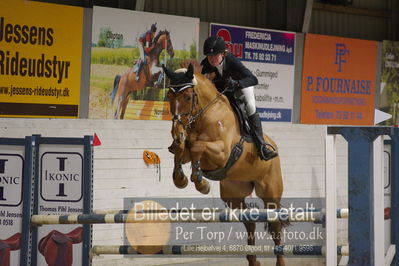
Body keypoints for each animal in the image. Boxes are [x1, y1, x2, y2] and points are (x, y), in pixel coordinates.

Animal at [164, 62, 286, 266]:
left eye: (188, 97)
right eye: (169, 96)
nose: (177, 132)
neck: (204, 115)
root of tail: (273, 146)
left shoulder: (222, 152)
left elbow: (198, 146)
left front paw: (201, 182)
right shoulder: (186, 148)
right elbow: (182, 151)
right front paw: (181, 178)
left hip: (270, 192)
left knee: (275, 223)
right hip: (233, 194)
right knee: (249, 220)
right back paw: (253, 259)